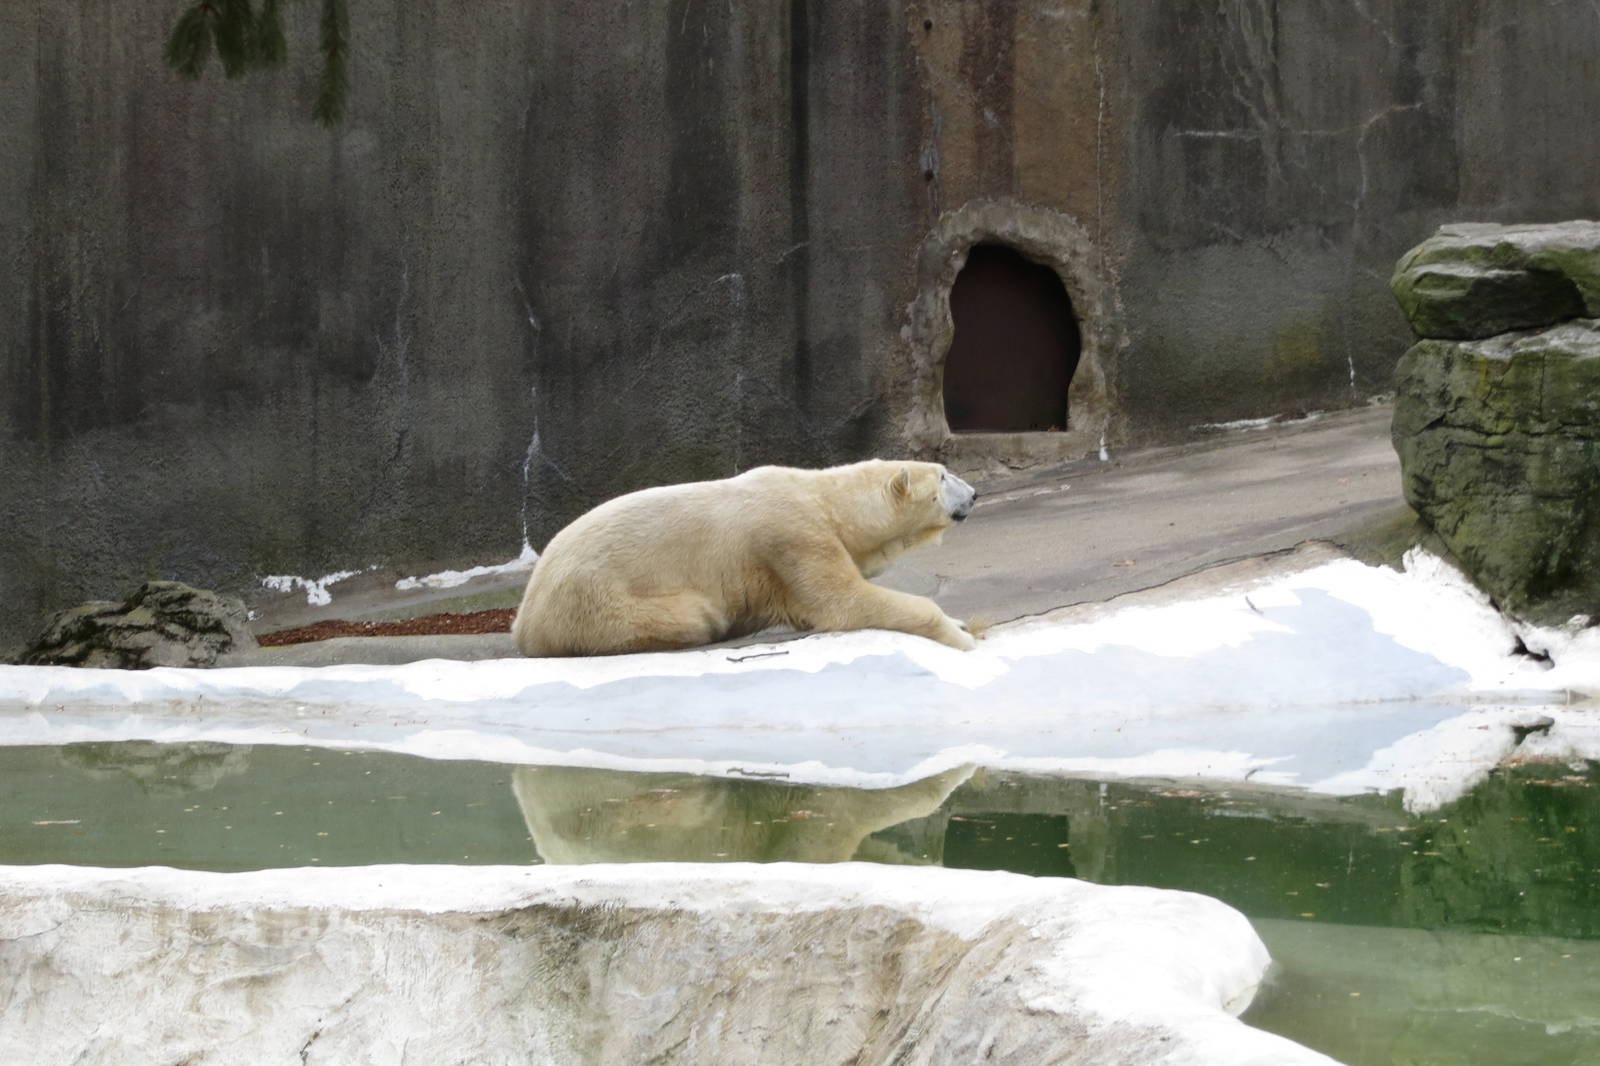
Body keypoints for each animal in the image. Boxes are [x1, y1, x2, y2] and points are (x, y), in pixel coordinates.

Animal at [511, 459, 978, 657]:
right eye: (942, 475)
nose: (974, 494)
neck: (824, 499)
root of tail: (522, 619)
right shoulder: (792, 536)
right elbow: (842, 601)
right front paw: (961, 638)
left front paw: (959, 623)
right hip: (598, 602)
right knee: (694, 615)